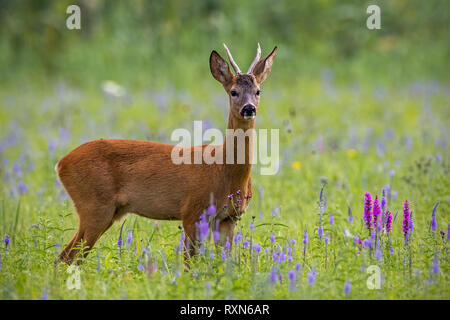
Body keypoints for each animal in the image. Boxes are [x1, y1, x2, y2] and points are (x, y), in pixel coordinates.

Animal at [56, 44, 278, 264]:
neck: (225, 168)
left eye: (258, 91)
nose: (249, 108)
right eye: (233, 92)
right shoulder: (192, 212)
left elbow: (226, 262)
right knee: (66, 257)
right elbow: (190, 263)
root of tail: (61, 164)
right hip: (94, 206)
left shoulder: (229, 218)